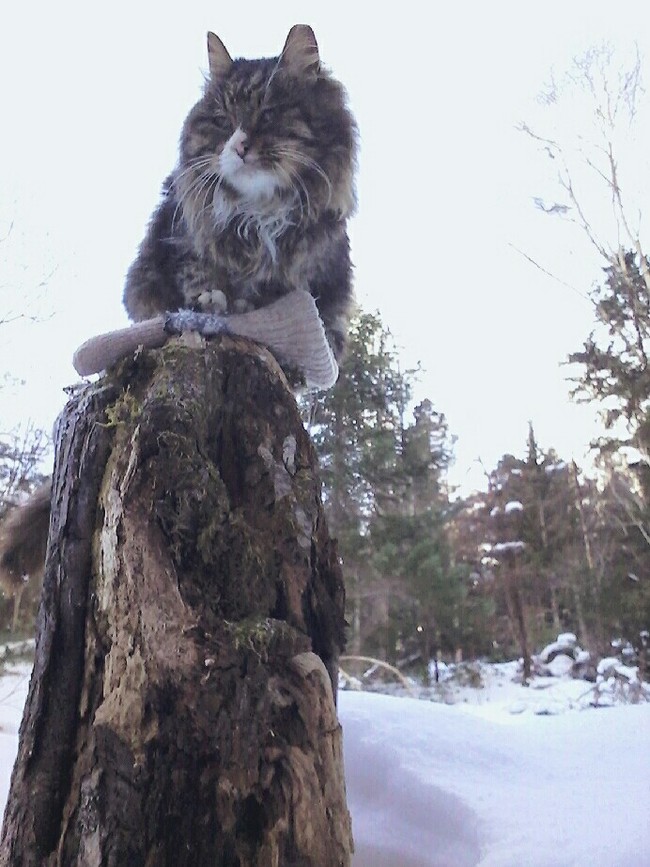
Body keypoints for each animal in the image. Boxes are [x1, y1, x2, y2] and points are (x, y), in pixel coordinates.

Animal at [0, 23, 356, 600]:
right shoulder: (172, 250)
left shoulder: (318, 288)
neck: (259, 217)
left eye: (267, 114)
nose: (239, 145)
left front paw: (252, 308)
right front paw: (212, 303)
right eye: (222, 121)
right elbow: (201, 278)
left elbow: (277, 302)